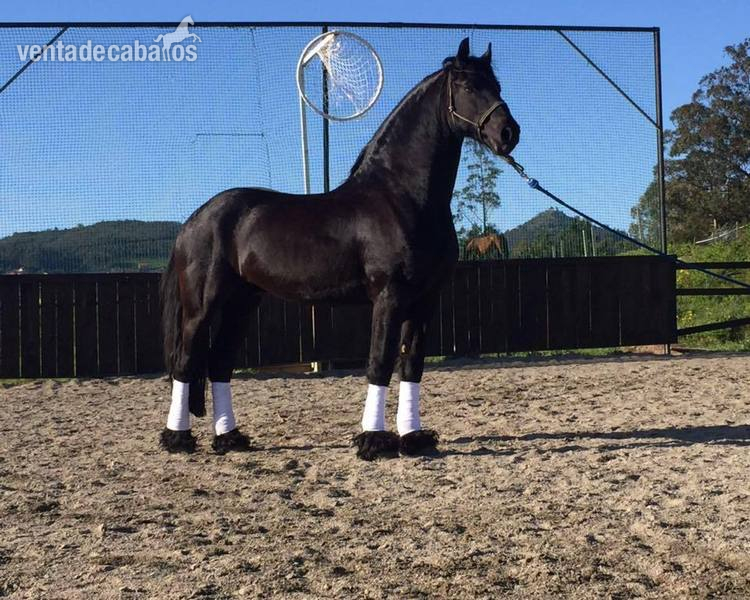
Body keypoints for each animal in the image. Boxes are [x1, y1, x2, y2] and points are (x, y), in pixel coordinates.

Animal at [159, 38, 520, 460]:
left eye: (496, 85)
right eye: (467, 86)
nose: (508, 133)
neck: (401, 196)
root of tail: (193, 220)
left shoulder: (425, 300)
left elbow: (412, 365)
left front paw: (414, 438)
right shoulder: (389, 297)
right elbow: (379, 364)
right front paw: (374, 441)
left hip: (241, 303)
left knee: (219, 363)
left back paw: (229, 438)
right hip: (203, 306)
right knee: (186, 363)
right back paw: (178, 439)